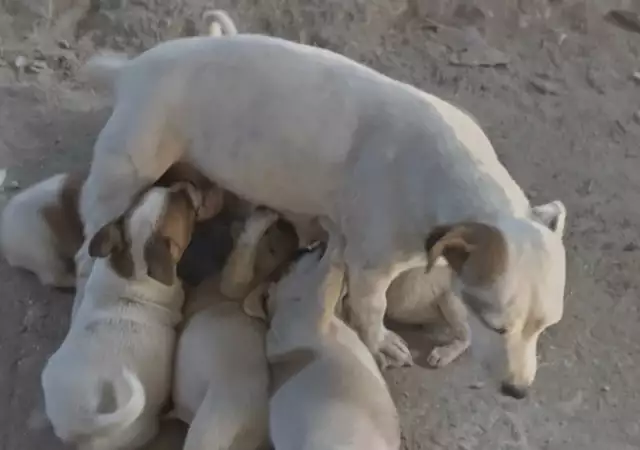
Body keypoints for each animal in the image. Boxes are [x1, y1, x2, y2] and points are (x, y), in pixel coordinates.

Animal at [79, 33, 564, 396]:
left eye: (546, 326)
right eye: (495, 325)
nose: (518, 391)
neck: (447, 174)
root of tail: (131, 70)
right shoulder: (371, 267)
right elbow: (372, 310)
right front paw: (382, 344)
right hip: (124, 173)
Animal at [172, 207, 298, 450]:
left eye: (272, 247)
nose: (289, 225)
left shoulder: (234, 286)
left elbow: (240, 263)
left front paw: (257, 222)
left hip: (213, 421)